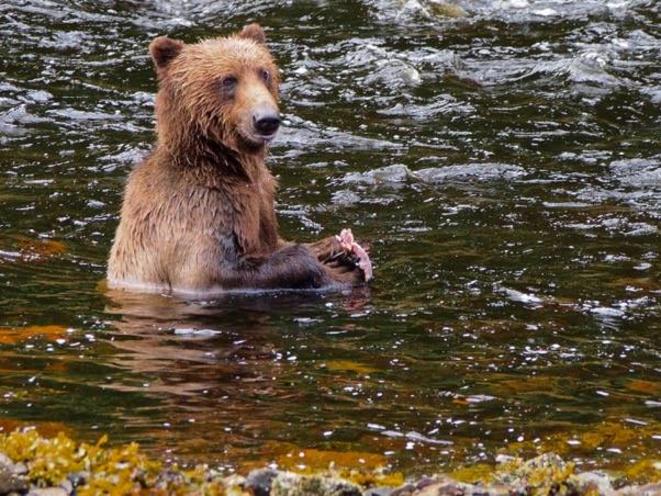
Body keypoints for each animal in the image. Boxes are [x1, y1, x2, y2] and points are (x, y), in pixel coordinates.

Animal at [107, 23, 371, 294]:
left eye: (264, 72)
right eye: (228, 79)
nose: (266, 119)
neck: (219, 160)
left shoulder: (261, 200)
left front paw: (341, 247)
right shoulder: (197, 205)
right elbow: (210, 270)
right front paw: (338, 270)